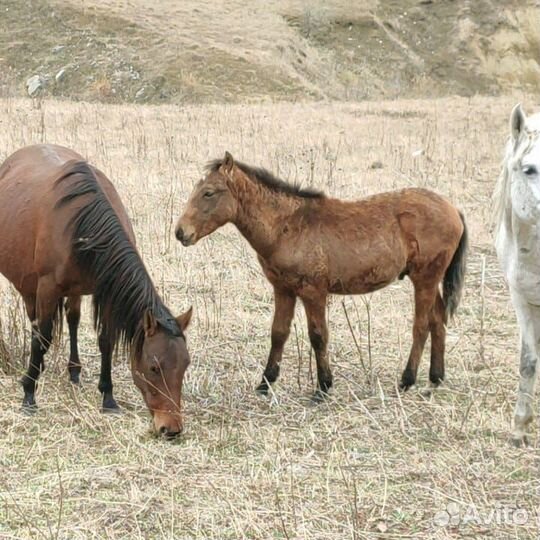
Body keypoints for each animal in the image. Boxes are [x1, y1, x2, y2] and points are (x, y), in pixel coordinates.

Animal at [175, 152, 466, 400]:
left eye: (208, 193)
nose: (180, 232)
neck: (287, 227)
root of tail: (453, 209)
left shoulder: (313, 291)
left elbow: (318, 335)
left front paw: (323, 387)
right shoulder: (283, 289)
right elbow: (278, 333)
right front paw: (265, 383)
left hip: (425, 279)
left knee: (421, 326)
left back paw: (407, 380)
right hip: (430, 280)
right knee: (438, 321)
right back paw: (436, 378)